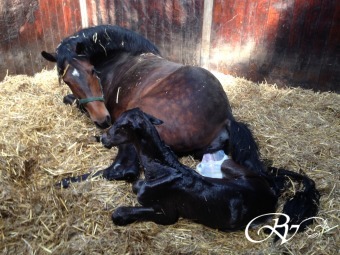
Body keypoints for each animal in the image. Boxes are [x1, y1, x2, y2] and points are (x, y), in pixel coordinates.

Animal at [100, 108, 318, 232]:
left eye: (119, 126)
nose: (101, 138)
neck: (161, 170)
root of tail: (271, 191)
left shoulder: (167, 214)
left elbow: (119, 213)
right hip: (228, 166)